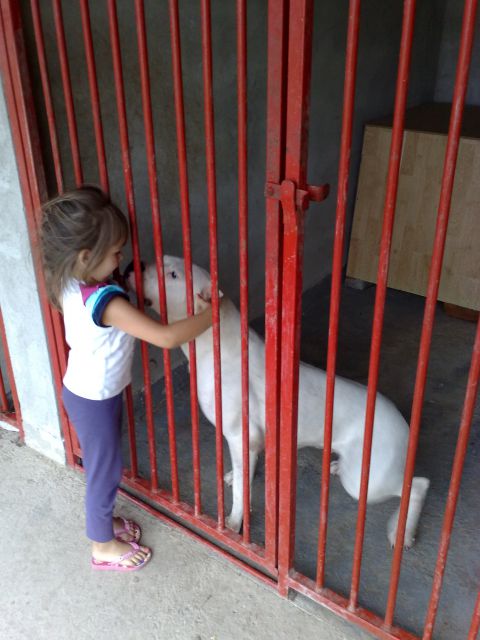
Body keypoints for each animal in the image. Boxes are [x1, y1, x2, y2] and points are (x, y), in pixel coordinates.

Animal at [129, 258, 430, 548]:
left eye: (173, 275)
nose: (135, 265)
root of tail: (404, 424)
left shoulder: (240, 435)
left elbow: (240, 493)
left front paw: (234, 523)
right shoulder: (249, 442)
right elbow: (244, 474)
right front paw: (236, 477)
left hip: (366, 480)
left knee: (417, 485)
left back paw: (403, 534)